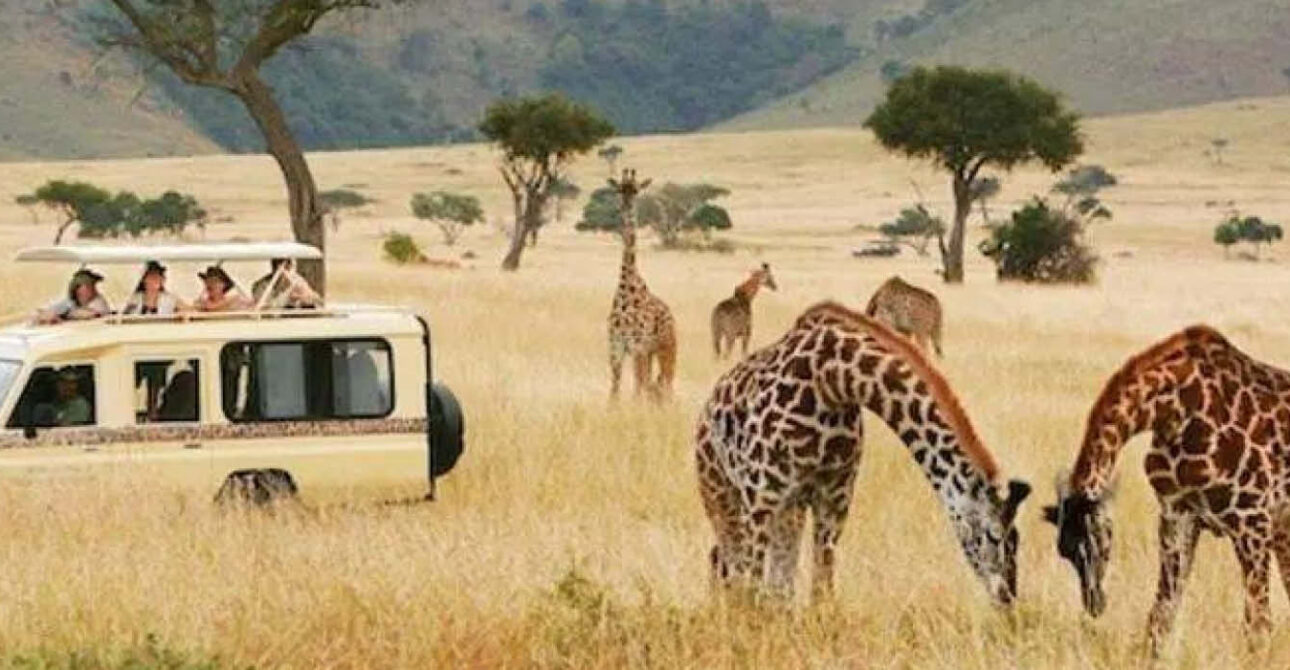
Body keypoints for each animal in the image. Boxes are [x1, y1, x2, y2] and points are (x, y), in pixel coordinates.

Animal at [607, 169, 677, 401]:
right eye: (620, 189)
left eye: (636, 190)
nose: (627, 207)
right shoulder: (616, 346)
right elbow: (614, 390)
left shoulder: (637, 345)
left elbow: (637, 389)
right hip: (650, 352)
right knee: (653, 383)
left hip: (666, 348)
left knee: (666, 383)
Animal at [695, 300, 1031, 603]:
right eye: (993, 536)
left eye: (1017, 539)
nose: (1007, 597)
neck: (832, 381)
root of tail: (706, 410)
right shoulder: (761, 496)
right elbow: (752, 587)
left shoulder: (834, 498)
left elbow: (821, 591)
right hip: (722, 494)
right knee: (729, 565)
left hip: (788, 509)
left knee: (774, 585)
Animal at [1043, 325, 1290, 656]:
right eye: (1064, 551)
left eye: (1095, 541)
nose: (1094, 604)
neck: (1175, 410)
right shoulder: (1177, 513)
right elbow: (1161, 613)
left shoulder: (1252, 518)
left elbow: (1258, 624)